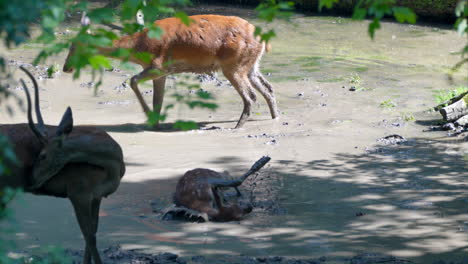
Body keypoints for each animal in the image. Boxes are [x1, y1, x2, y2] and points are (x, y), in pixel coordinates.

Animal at [0, 66, 126, 264]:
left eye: (42, 155)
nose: (30, 180)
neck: (112, 169)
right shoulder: (78, 192)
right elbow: (89, 236)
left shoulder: (97, 196)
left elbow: (93, 234)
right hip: (5, 184)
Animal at [64, 14, 280, 129]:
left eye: (73, 46)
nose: (66, 68)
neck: (138, 48)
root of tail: (264, 40)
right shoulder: (162, 72)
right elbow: (157, 101)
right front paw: (154, 121)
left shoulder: (160, 65)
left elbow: (132, 80)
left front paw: (148, 116)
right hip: (250, 65)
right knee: (268, 88)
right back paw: (275, 116)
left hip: (233, 65)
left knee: (251, 95)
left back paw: (237, 126)